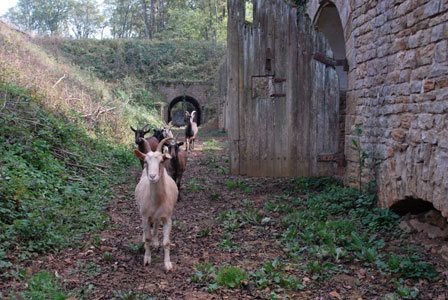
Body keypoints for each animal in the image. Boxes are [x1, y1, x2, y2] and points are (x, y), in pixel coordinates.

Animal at [135, 137, 178, 270]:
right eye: (145, 162)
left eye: (161, 161)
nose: (152, 176)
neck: (156, 201)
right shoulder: (145, 215)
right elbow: (147, 238)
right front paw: (147, 259)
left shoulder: (167, 217)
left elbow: (167, 242)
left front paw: (168, 264)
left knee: (156, 224)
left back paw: (155, 242)